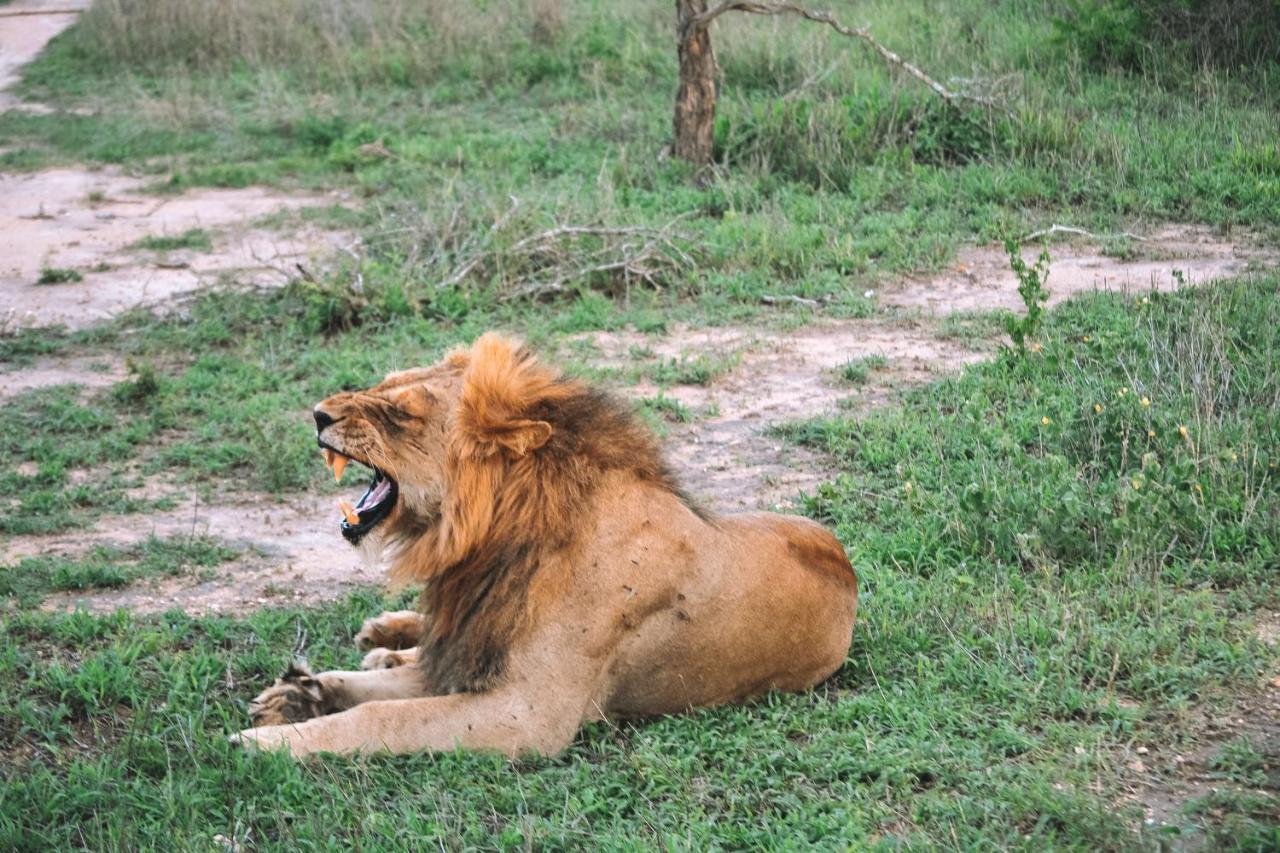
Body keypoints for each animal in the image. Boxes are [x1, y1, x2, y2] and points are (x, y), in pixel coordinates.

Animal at [240, 333, 860, 758]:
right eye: (383, 384)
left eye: (402, 413)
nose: (318, 414)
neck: (492, 540)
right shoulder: (471, 656)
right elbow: (372, 691)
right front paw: (296, 699)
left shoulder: (527, 716)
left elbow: (381, 717)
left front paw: (263, 742)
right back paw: (382, 636)